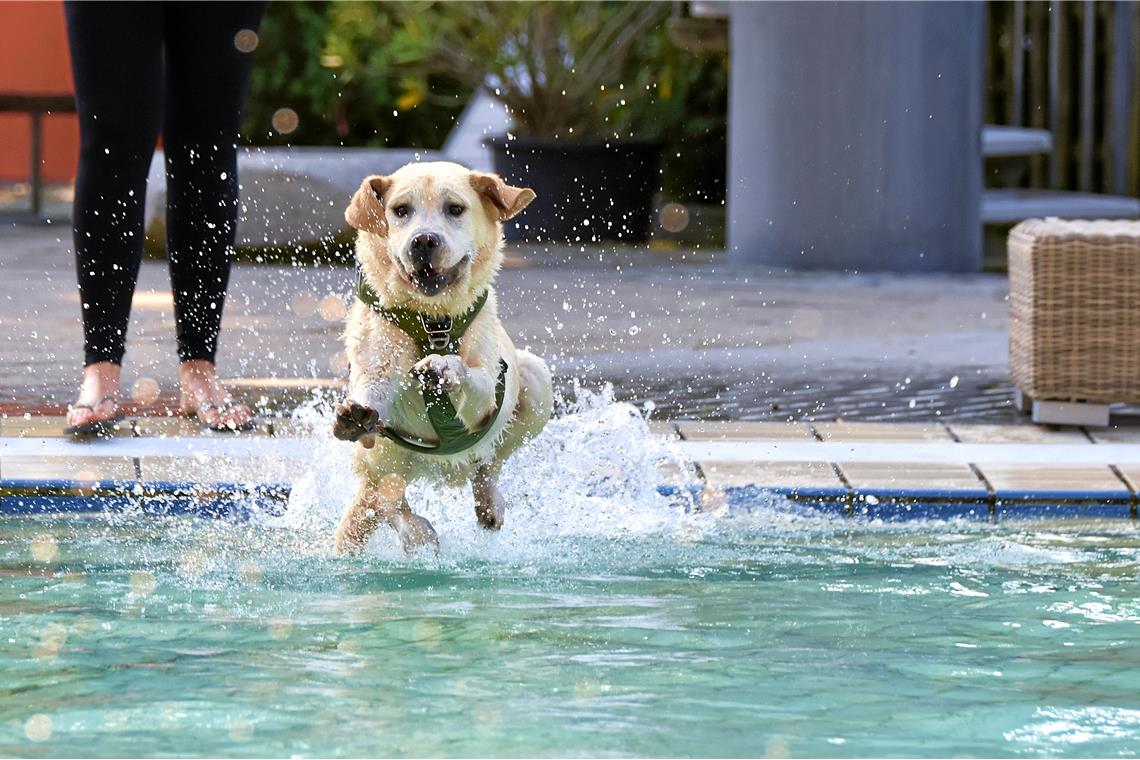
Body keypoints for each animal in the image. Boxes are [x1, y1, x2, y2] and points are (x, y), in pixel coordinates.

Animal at [330, 161, 551, 553]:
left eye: (455, 209)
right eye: (401, 210)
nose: (423, 241)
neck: (433, 319)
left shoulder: (488, 391)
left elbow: (472, 378)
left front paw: (444, 367)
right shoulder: (379, 365)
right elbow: (374, 389)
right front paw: (356, 413)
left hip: (536, 380)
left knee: (488, 465)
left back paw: (489, 501)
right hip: (380, 453)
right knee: (386, 497)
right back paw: (416, 530)